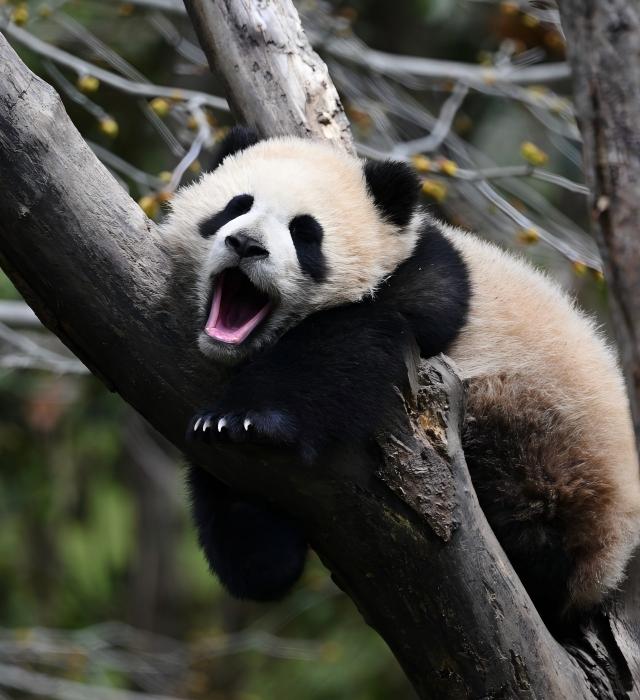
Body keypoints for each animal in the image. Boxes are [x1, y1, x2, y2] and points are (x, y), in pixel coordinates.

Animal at [161, 126, 640, 624]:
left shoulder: (425, 292)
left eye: (304, 233)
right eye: (236, 206)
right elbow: (260, 559)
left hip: (548, 435)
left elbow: (347, 345)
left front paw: (243, 417)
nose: (246, 244)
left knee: (529, 502)